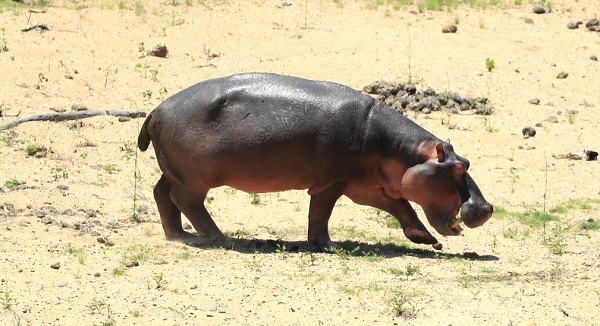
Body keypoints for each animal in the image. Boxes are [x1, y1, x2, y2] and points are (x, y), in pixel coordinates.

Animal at [139, 74, 492, 251]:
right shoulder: (332, 182)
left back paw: (179, 236)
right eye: (458, 168)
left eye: (467, 161)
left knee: (161, 193)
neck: (405, 153)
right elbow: (321, 213)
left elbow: (401, 205)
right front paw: (328, 246)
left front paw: (427, 240)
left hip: (173, 171)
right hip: (195, 178)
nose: (487, 207)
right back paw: (220, 238)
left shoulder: (365, 185)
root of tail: (155, 109)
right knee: (185, 200)